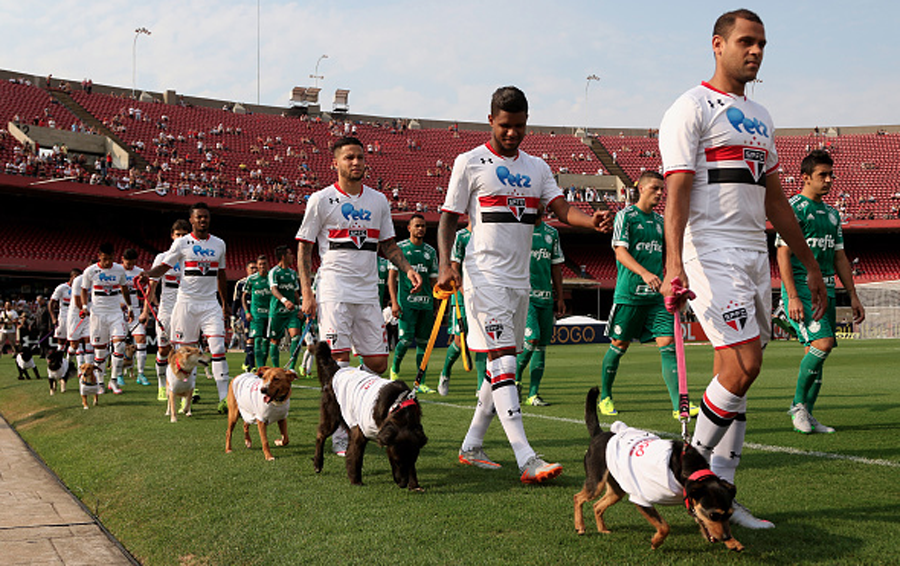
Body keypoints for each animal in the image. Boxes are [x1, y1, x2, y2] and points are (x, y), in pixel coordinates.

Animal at [312, 342, 428, 492]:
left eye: (412, 461)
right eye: (396, 461)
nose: (403, 484)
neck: (397, 405)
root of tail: (338, 371)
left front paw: (414, 485)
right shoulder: (359, 431)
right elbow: (356, 457)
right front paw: (356, 480)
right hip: (332, 417)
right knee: (320, 435)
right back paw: (318, 463)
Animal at [576, 388, 744, 552]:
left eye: (730, 514)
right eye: (713, 515)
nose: (726, 537)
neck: (687, 470)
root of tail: (599, 434)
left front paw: (734, 543)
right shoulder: (641, 499)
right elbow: (664, 526)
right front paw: (656, 542)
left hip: (617, 488)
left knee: (597, 506)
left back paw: (602, 529)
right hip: (596, 482)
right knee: (578, 497)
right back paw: (580, 527)